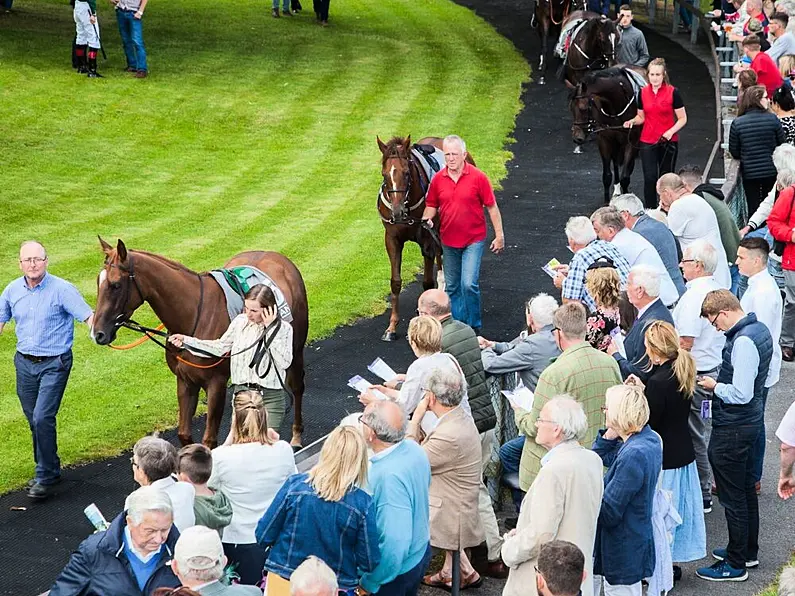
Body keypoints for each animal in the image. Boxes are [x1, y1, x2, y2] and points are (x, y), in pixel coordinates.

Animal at [90, 237, 308, 448]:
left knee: (297, 387)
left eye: (116, 285)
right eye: (98, 282)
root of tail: (277, 257)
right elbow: (184, 434)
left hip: (295, 349)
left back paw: (296, 435)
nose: (97, 333)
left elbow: (209, 439)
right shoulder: (185, 380)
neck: (194, 314)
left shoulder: (216, 383)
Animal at [376, 135, 476, 340]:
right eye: (384, 174)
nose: (397, 211)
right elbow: (395, 282)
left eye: (406, 173)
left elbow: (428, 282)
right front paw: (391, 328)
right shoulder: (392, 238)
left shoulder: (427, 239)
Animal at [568, 67, 644, 203]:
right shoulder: (605, 139)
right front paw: (606, 202)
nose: (577, 138)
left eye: (583, 108)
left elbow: (625, 176)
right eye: (571, 108)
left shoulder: (632, 140)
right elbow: (607, 176)